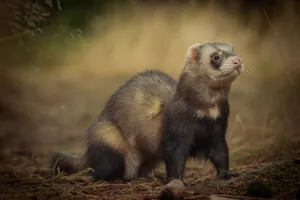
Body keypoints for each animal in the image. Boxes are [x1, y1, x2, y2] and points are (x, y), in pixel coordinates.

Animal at [51, 41, 244, 197]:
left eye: (235, 51)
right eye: (216, 56)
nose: (238, 60)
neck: (206, 113)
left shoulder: (217, 131)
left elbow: (221, 153)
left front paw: (227, 174)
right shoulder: (176, 131)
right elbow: (175, 158)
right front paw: (177, 180)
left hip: (150, 156)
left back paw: (145, 176)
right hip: (110, 139)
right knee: (100, 170)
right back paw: (117, 179)